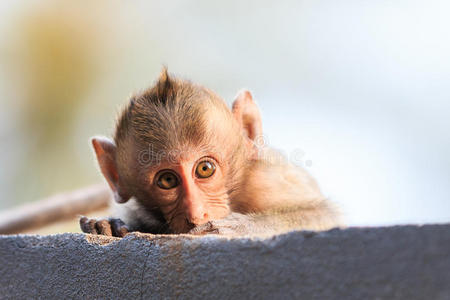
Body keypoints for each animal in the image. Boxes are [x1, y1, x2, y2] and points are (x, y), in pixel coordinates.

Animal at [81, 68, 340, 237]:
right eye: (167, 180)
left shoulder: (266, 181)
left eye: (205, 169)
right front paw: (110, 225)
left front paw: (237, 228)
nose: (196, 215)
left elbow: (326, 215)